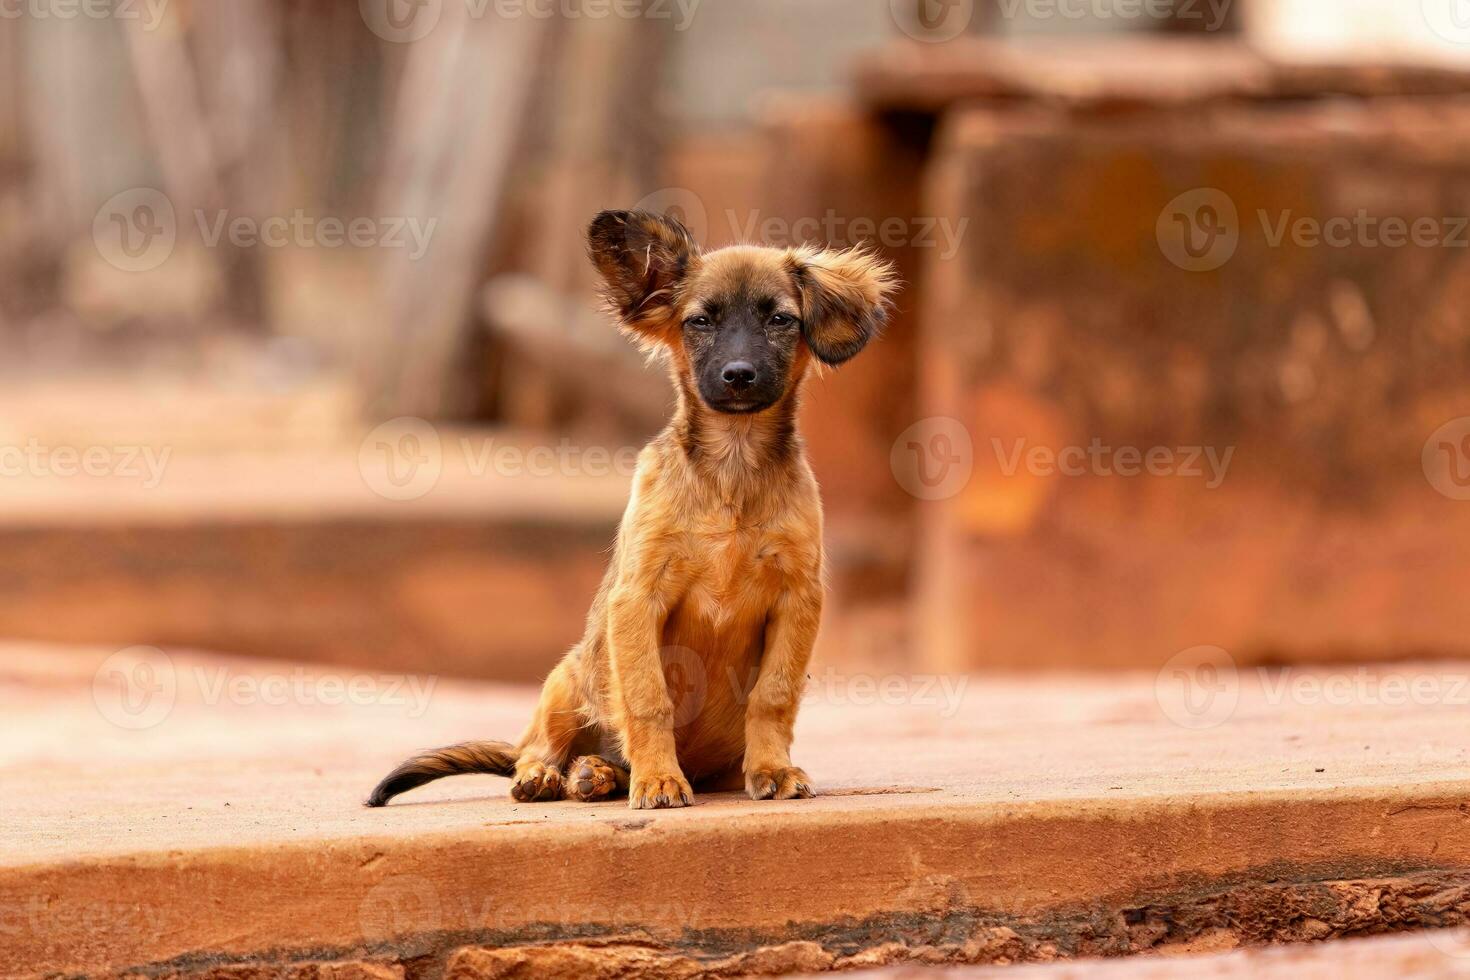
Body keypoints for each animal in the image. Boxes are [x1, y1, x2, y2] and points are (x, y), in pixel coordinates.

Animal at [367, 208, 893, 811]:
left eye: (781, 320)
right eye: (699, 322)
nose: (739, 374)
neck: (733, 466)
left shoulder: (797, 597)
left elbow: (774, 695)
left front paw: (772, 769)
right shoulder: (639, 597)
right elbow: (647, 698)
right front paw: (660, 779)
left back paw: (598, 773)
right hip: (566, 678)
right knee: (537, 747)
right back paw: (553, 775)